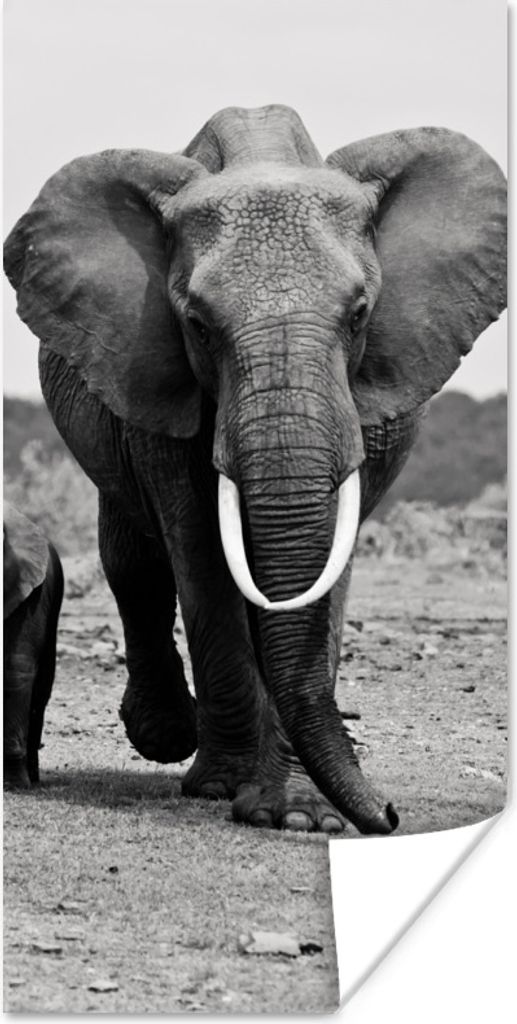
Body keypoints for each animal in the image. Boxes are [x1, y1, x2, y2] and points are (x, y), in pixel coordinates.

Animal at [4, 104, 506, 833]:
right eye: (196, 324)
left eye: (359, 314)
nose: (388, 814)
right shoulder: (159, 378)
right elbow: (200, 553)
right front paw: (227, 790)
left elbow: (326, 564)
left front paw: (300, 816)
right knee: (132, 556)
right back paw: (167, 737)